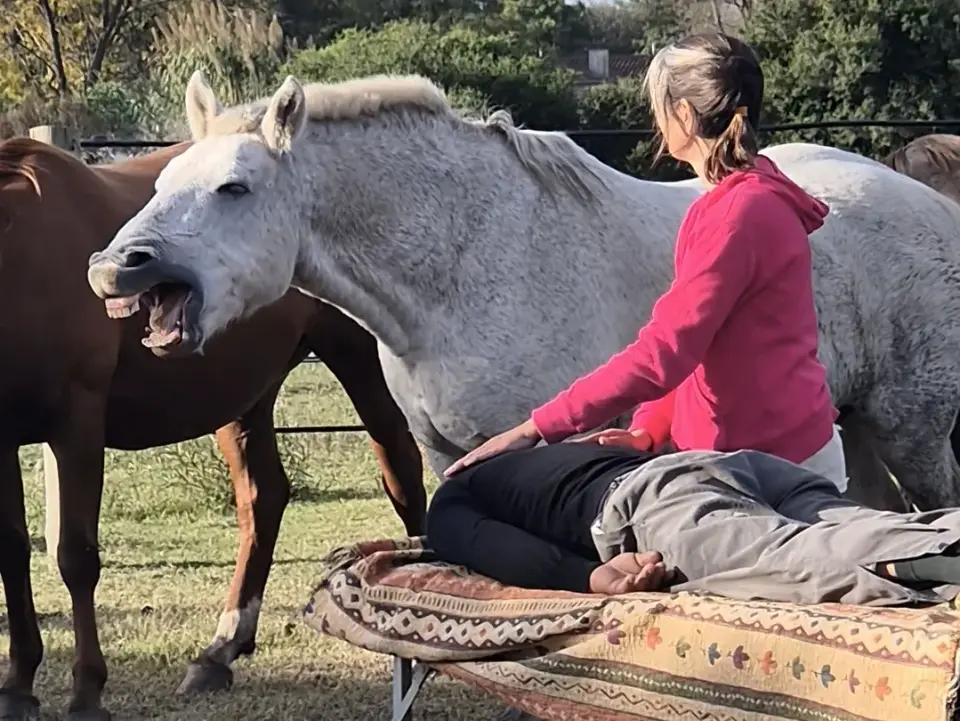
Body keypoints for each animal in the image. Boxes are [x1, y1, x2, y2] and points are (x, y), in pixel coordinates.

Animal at [0, 136, 425, 721]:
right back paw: (220, 650)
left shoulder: (76, 426)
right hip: (245, 394)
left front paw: (87, 692)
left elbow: (75, 557)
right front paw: (18, 686)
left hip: (360, 360)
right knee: (265, 498)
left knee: (403, 471)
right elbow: (11, 552)